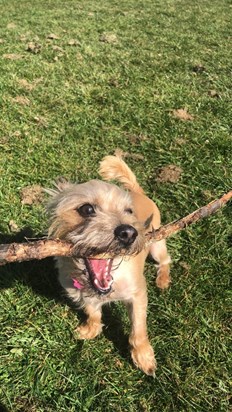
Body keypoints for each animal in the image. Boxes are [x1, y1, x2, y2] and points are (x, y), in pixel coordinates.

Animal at [47, 153, 170, 374]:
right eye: (87, 209)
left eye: (129, 211)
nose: (129, 232)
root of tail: (138, 191)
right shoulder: (82, 294)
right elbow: (92, 312)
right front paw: (90, 329)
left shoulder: (138, 294)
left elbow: (139, 327)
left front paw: (144, 357)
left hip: (157, 245)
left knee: (166, 260)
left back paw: (163, 280)